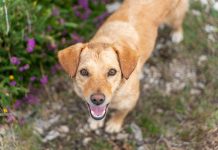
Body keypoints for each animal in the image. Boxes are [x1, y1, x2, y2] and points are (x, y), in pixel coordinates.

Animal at [58, 0, 189, 134]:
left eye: (112, 71)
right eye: (84, 72)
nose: (97, 100)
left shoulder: (131, 101)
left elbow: (121, 112)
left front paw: (115, 123)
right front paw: (96, 121)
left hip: (175, 15)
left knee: (179, 22)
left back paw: (177, 34)